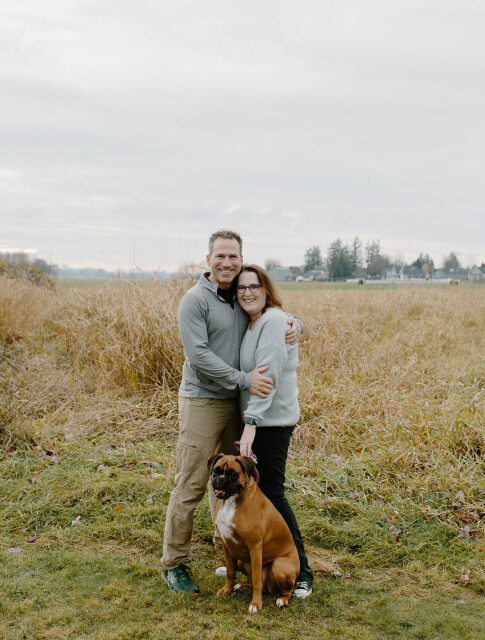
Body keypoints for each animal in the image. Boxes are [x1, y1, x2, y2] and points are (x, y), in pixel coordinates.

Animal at [208, 453, 300, 614]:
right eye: (216, 471)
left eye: (233, 474)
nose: (220, 479)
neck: (231, 501)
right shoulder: (226, 543)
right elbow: (230, 571)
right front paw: (227, 590)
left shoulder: (255, 546)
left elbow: (257, 580)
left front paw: (256, 604)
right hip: (242, 562)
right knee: (261, 585)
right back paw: (242, 586)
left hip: (280, 565)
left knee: (286, 589)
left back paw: (282, 600)